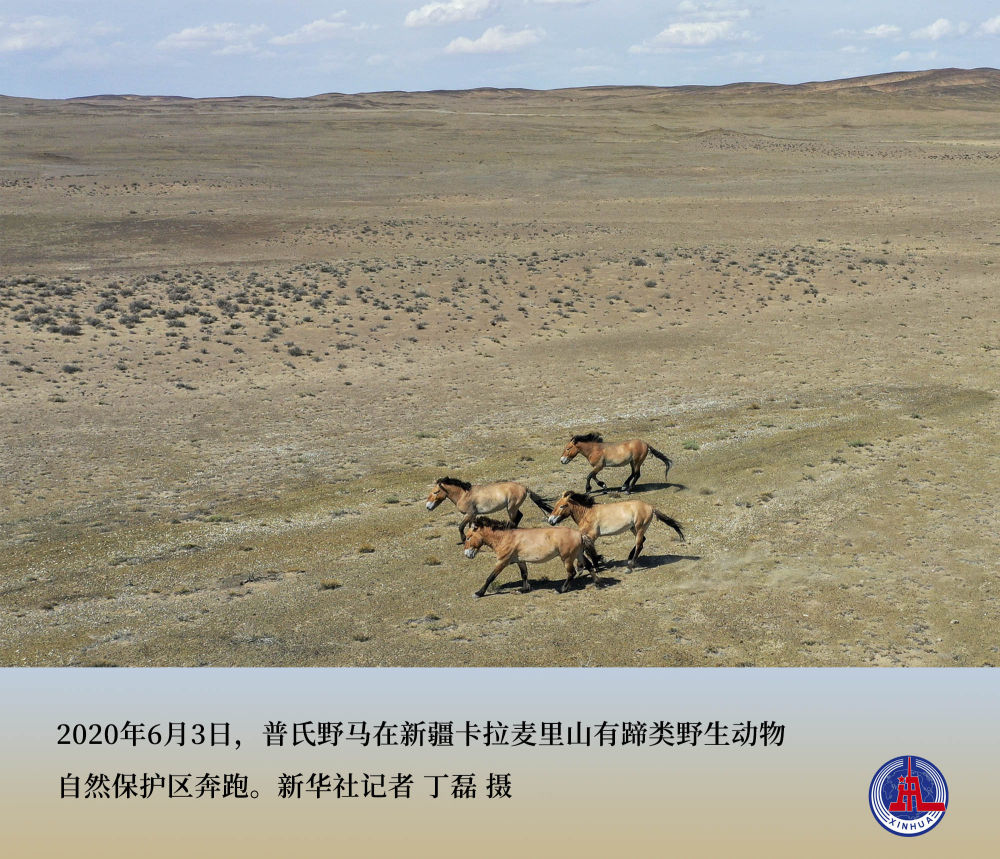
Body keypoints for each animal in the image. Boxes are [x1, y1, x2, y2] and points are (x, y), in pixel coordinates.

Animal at [462, 516, 599, 598]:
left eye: (468, 537)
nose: (467, 554)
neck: (505, 537)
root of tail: (580, 534)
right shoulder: (520, 561)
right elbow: (524, 574)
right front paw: (523, 589)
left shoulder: (502, 561)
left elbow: (490, 577)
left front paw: (479, 593)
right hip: (579, 554)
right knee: (589, 565)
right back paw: (597, 582)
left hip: (567, 558)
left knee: (571, 572)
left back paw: (561, 590)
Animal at [547, 490, 684, 569]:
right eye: (556, 505)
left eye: (562, 506)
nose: (550, 520)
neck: (587, 513)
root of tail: (651, 507)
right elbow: (586, 550)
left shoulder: (592, 535)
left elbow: (589, 551)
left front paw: (596, 564)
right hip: (633, 528)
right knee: (642, 541)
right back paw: (629, 558)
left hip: (639, 527)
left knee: (639, 544)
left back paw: (630, 566)